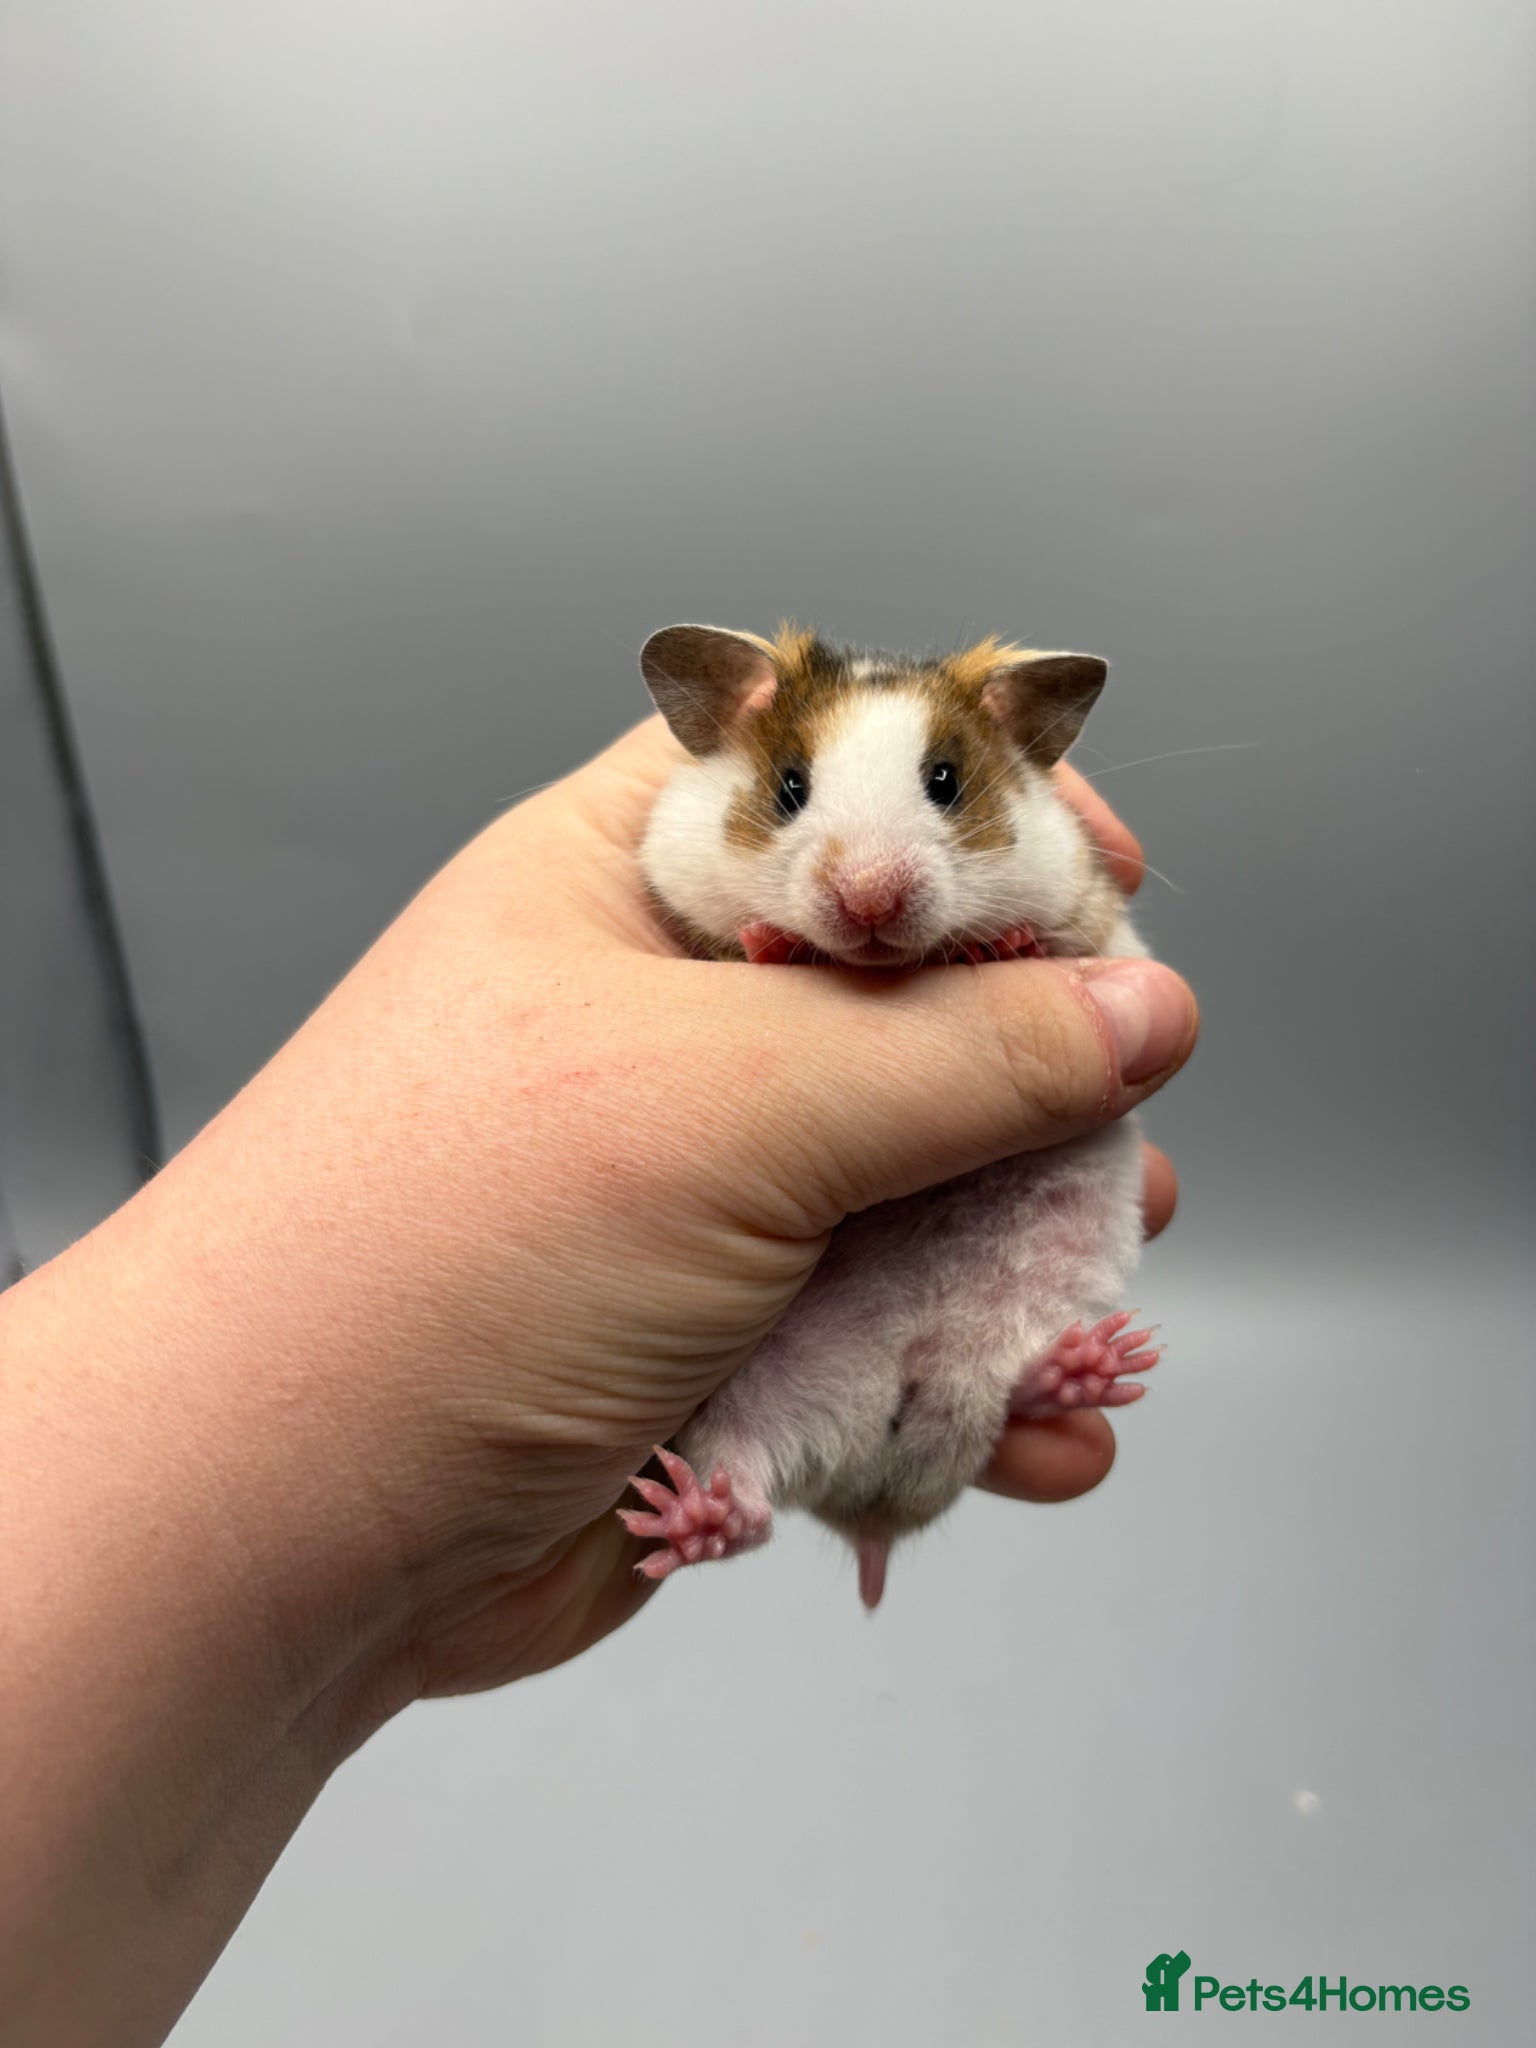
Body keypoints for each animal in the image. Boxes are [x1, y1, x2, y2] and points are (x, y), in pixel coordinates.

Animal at [620, 622, 1161, 1607]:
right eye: (790, 787)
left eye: (945, 780)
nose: (869, 900)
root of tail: (872, 1499)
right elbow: (736, 947)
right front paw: (772, 942)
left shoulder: (1089, 913)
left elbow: (1050, 939)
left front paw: (1002, 944)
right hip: (736, 1412)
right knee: (748, 1499)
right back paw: (689, 1518)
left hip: (1063, 1259)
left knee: (1017, 1384)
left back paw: (1086, 1366)